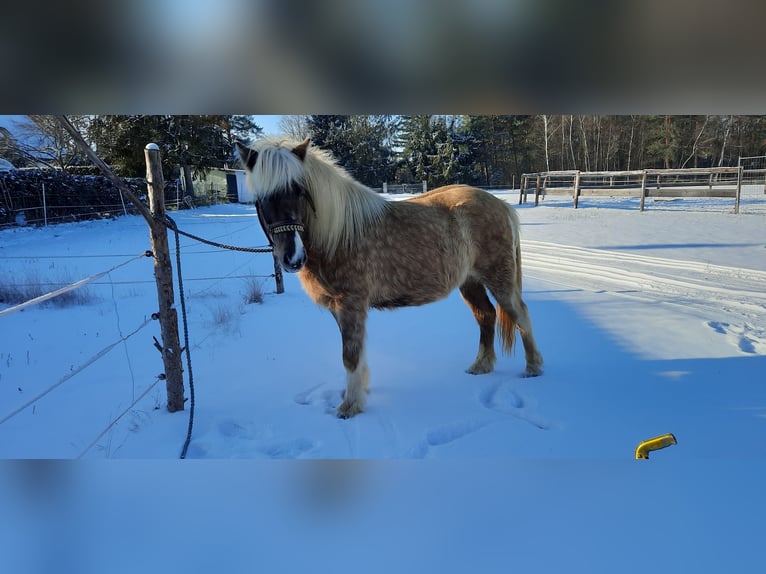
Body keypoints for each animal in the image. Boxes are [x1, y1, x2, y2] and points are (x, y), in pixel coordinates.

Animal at [237, 138, 544, 418]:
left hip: (499, 278)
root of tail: (501, 206)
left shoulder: (351, 305)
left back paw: (533, 368)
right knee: (486, 315)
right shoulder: (339, 308)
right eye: (261, 198)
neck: (339, 234)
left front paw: (350, 406)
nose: (292, 258)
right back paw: (481, 365)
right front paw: (358, 391)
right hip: (470, 282)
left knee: (520, 313)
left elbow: (350, 354)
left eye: (299, 190)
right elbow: (355, 353)